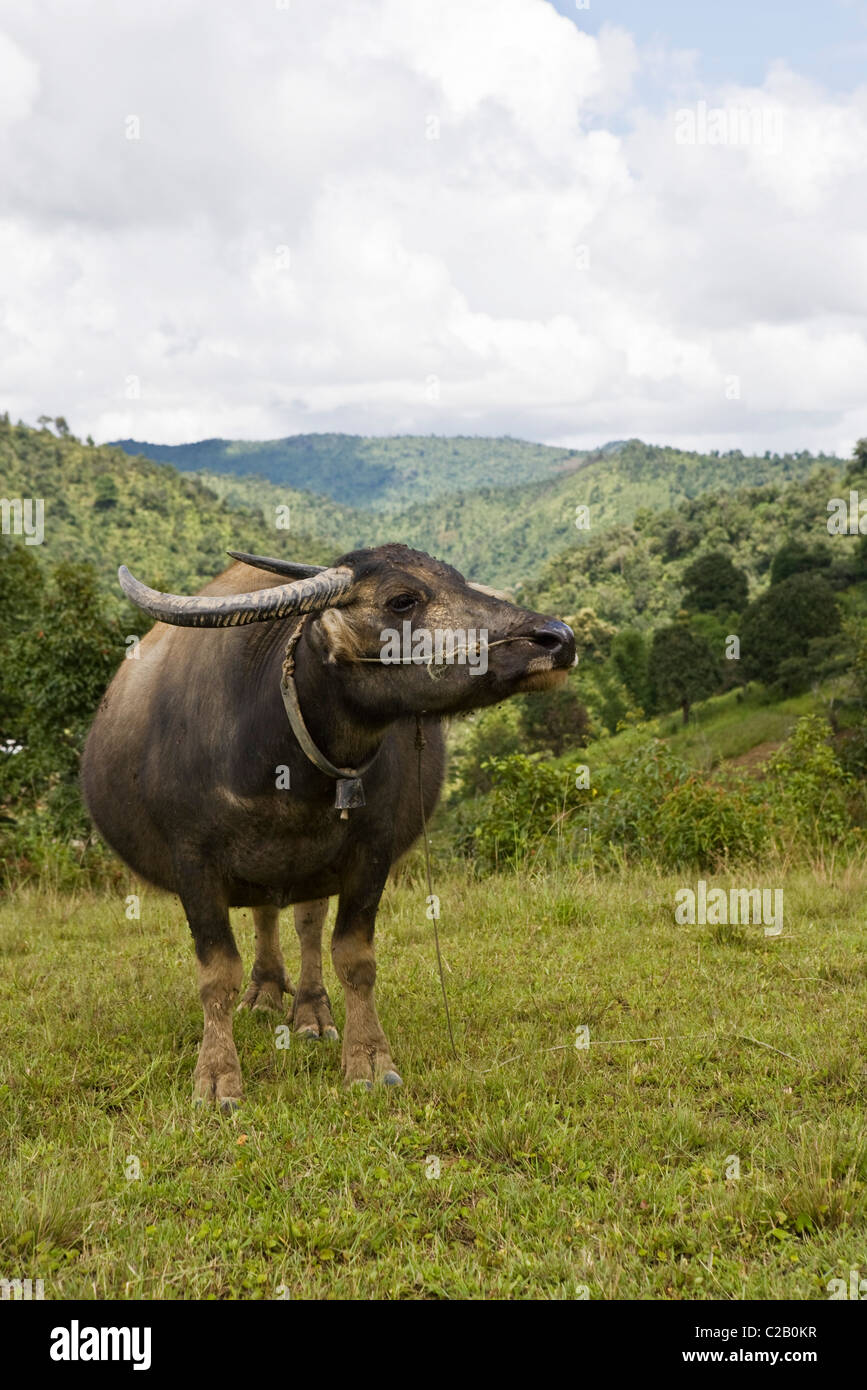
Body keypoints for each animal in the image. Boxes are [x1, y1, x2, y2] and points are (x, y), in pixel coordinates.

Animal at [79, 542, 569, 1106]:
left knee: (304, 922)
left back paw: (310, 1011)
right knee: (266, 913)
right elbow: (216, 973)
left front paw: (370, 1060)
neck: (281, 764)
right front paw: (217, 1076)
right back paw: (266, 991)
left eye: (460, 580)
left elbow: (354, 957)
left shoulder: (371, 851)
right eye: (402, 599)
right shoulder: (192, 862)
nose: (558, 637)